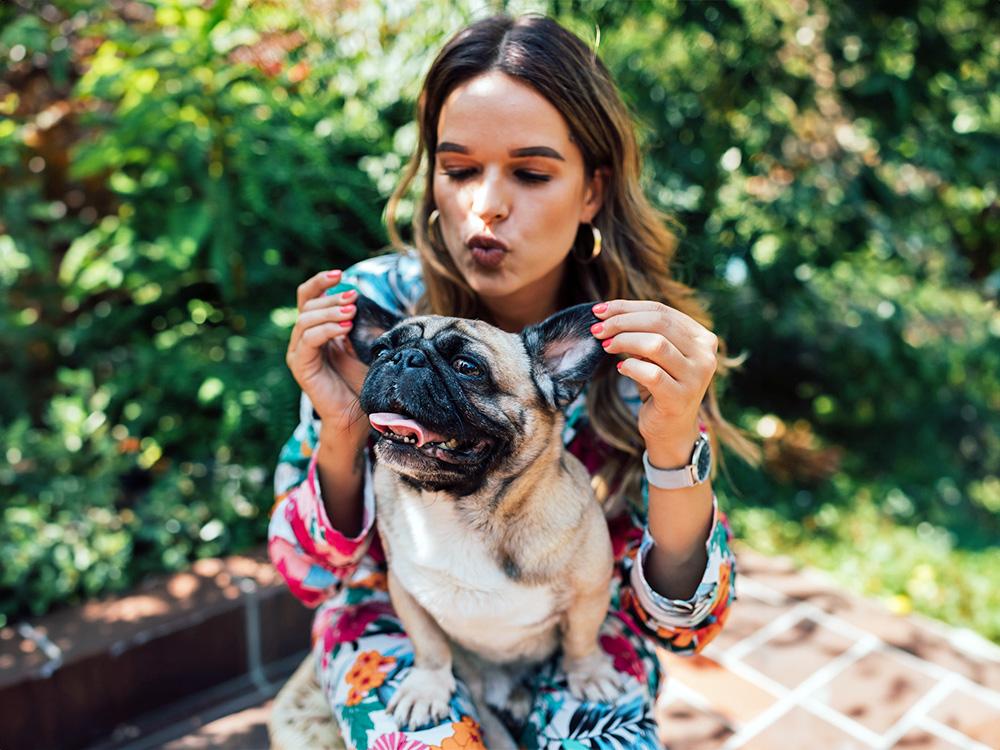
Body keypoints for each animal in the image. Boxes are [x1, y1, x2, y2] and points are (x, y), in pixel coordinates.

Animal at [348, 296, 620, 744]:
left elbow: (582, 639)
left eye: (467, 367)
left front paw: (589, 674)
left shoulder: (590, 591)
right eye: (379, 350)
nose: (403, 357)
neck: (463, 509)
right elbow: (429, 646)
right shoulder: (405, 590)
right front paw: (427, 689)